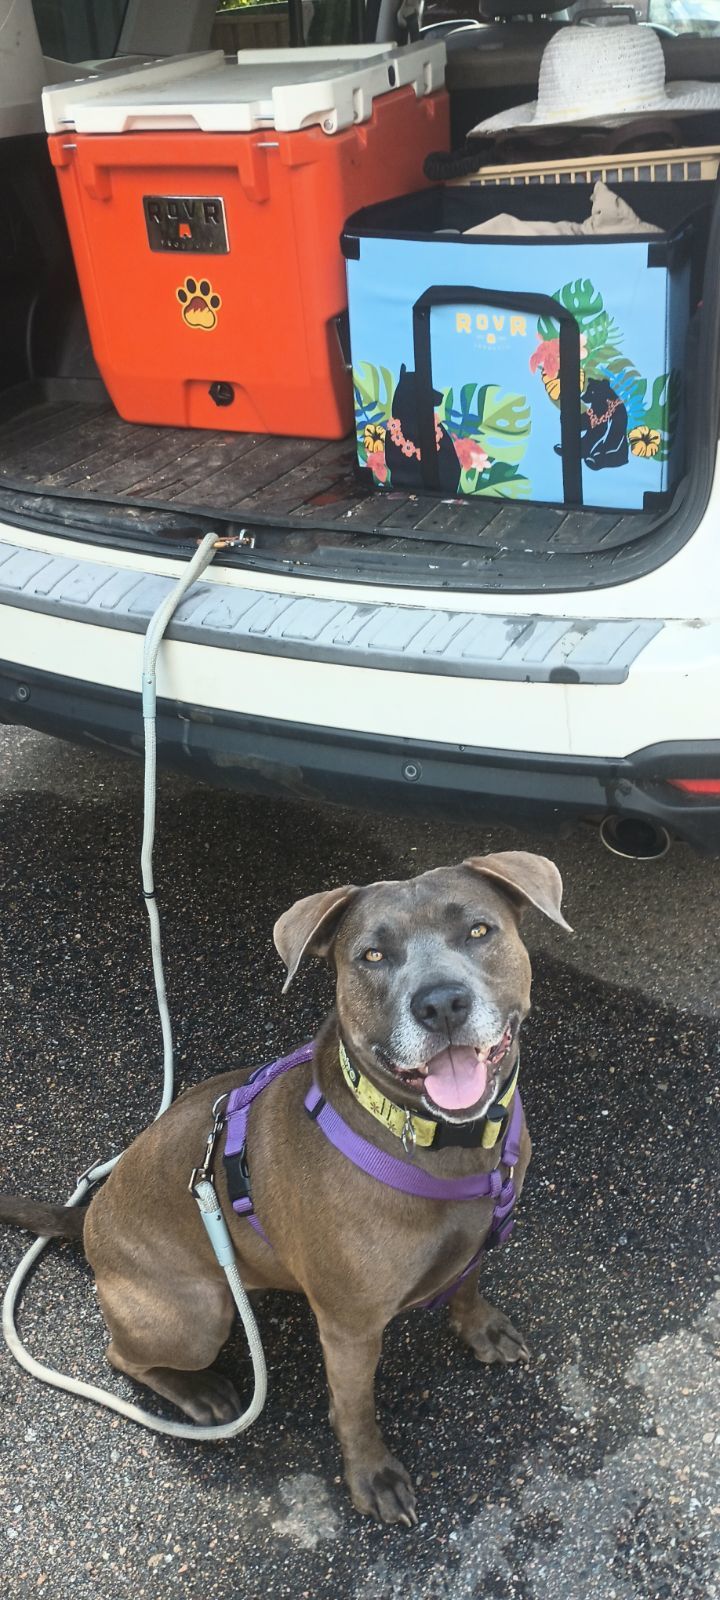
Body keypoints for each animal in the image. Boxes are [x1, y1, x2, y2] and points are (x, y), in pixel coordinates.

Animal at [2, 851, 569, 1523]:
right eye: (372, 955)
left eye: (479, 930)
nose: (441, 1003)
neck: (443, 1143)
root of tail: (87, 1220)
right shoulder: (350, 1328)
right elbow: (355, 1407)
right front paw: (372, 1476)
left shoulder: (482, 1233)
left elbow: (469, 1283)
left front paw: (481, 1327)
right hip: (198, 1315)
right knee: (124, 1356)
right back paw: (198, 1393)